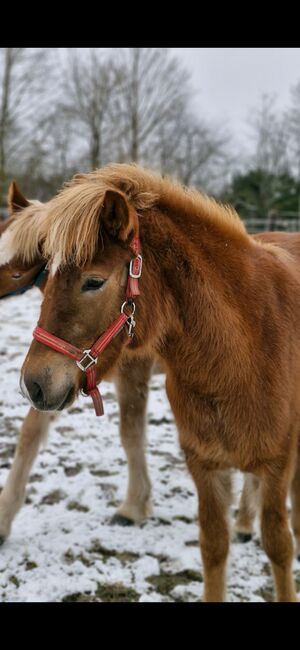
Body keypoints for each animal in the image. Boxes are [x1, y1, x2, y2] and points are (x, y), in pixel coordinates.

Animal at [16, 163, 300, 604]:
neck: (241, 353)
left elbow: (280, 547)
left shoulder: (278, 461)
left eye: (93, 282)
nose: (34, 384)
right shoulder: (204, 463)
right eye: (45, 281)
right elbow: (213, 548)